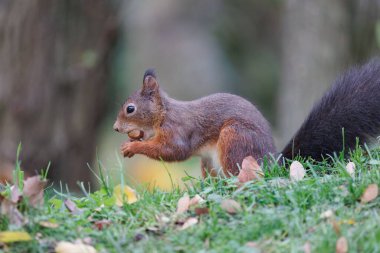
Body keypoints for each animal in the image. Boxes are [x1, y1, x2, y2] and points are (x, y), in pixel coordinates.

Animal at [113, 58, 380, 178]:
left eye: (130, 109)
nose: (115, 128)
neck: (164, 114)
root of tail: (274, 162)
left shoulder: (178, 130)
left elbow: (172, 151)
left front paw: (132, 146)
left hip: (234, 139)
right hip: (209, 162)